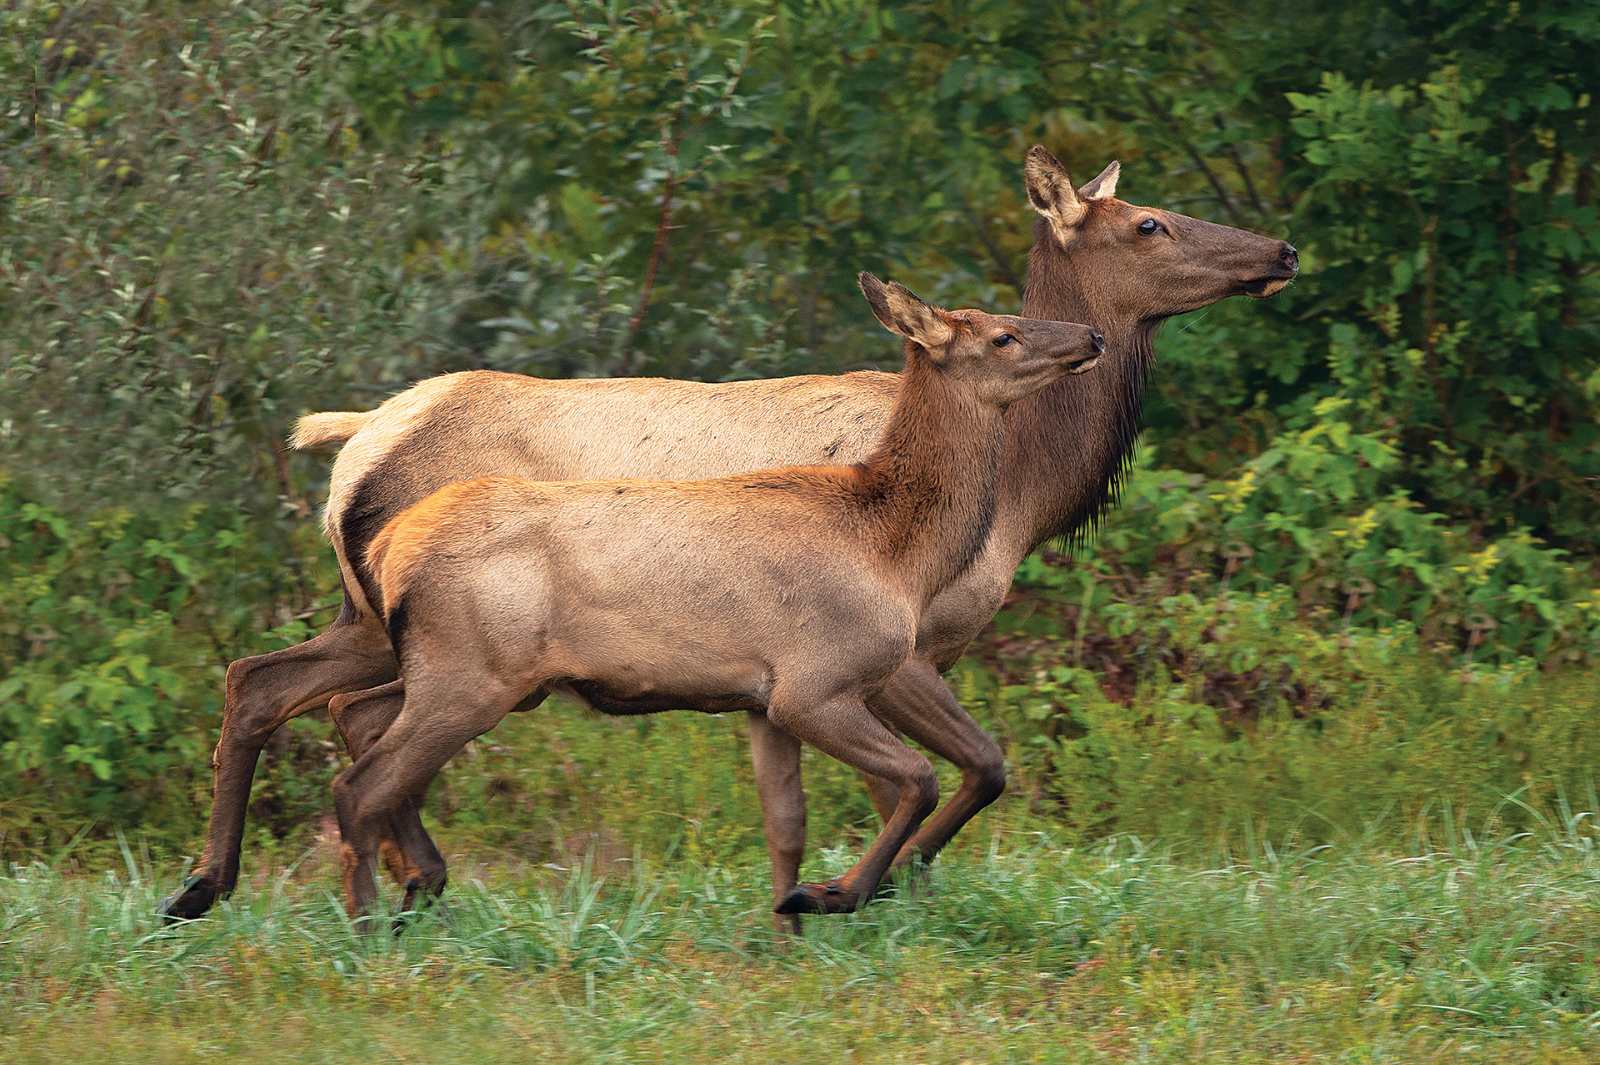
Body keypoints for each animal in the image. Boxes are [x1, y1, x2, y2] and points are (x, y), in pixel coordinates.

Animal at [325, 276, 1105, 920]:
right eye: (1001, 334)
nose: (1091, 336)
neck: (896, 547)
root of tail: (389, 546)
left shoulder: (762, 700)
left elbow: (786, 824)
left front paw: (788, 927)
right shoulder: (815, 683)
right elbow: (919, 778)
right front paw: (835, 894)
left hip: (461, 672)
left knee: (355, 728)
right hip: (473, 671)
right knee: (360, 783)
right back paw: (370, 923)